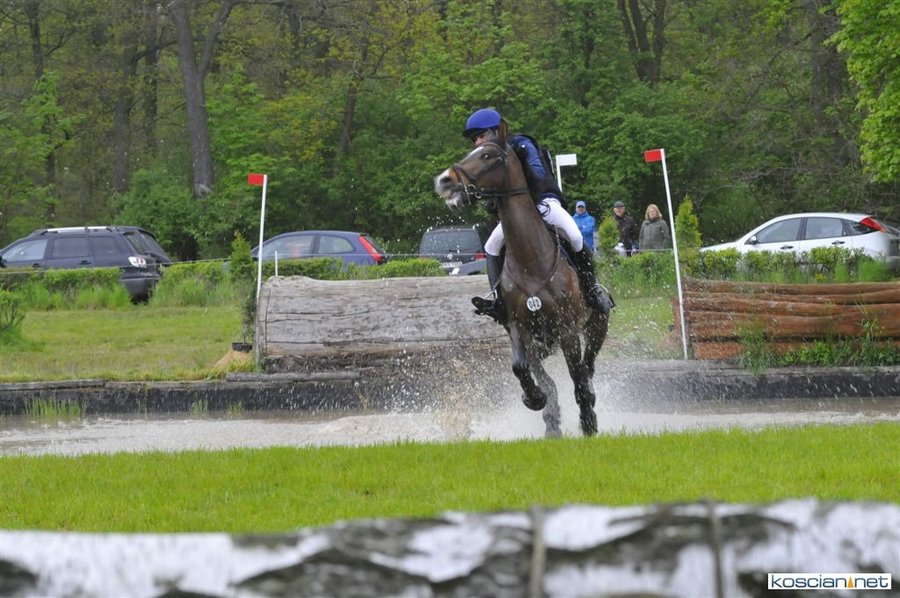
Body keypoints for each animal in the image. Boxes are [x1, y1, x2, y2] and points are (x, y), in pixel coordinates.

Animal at [434, 137, 609, 437]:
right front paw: (535, 398)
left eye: (488, 156)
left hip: (596, 326)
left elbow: (577, 376)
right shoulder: (518, 327)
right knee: (547, 371)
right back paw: (551, 418)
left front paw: (588, 422)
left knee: (588, 366)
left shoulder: (567, 331)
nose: (445, 181)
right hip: (542, 341)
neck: (531, 259)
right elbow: (520, 367)